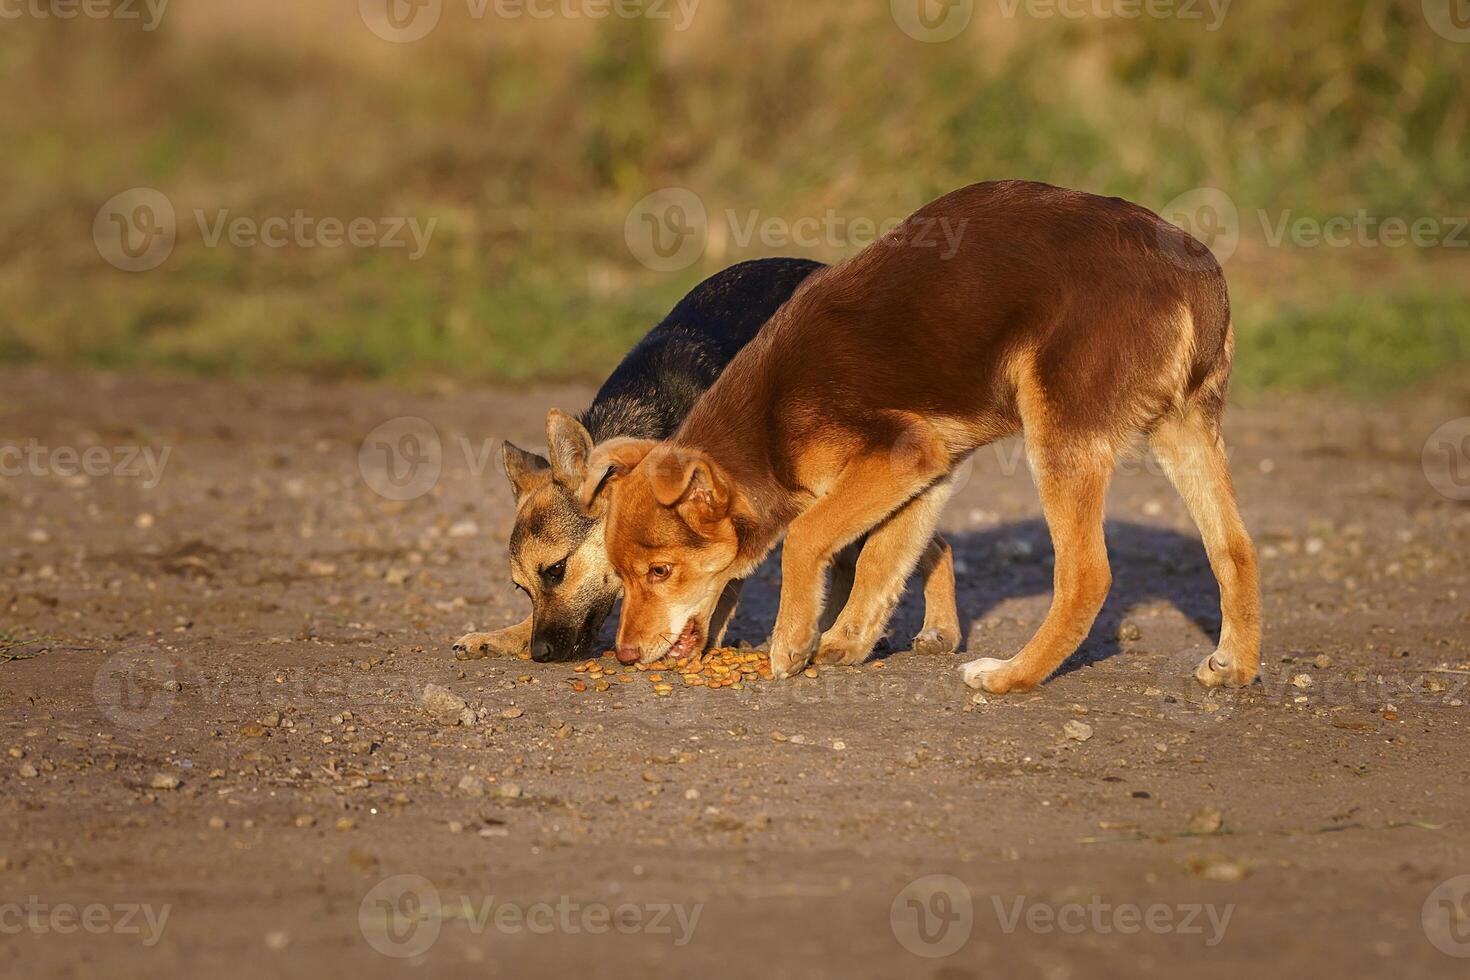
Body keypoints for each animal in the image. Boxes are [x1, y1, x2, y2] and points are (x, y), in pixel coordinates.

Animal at [579, 179, 1258, 693]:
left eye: (660, 572)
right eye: (621, 575)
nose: (625, 656)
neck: (769, 427)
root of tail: (1195, 278)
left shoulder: (898, 456)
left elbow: (806, 536)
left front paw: (793, 643)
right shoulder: (927, 468)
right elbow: (884, 556)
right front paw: (848, 641)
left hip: (1061, 437)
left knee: (1086, 575)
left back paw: (1010, 677)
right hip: (1185, 430)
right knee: (1234, 548)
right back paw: (1235, 666)